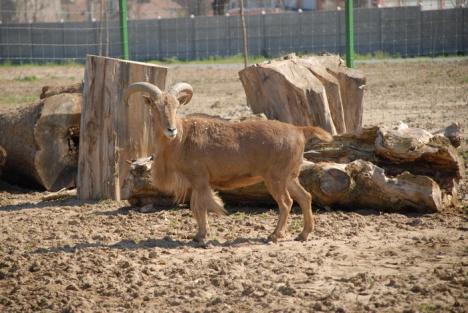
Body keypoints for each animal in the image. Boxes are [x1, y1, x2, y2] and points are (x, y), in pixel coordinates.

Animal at [122, 81, 330, 243]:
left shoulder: (199, 179)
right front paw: (198, 235)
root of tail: (299, 131)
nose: (170, 129)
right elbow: (196, 207)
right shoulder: (196, 182)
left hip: (275, 178)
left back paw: (274, 235)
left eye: (176, 106)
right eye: (155, 107)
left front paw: (201, 236)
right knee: (305, 197)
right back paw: (303, 234)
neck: (182, 139)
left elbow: (199, 207)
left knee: (286, 202)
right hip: (289, 177)